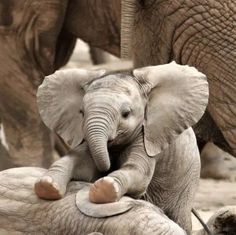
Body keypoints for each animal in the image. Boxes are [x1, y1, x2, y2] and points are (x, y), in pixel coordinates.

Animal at [35, 62, 208, 233]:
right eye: (81, 113)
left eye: (126, 113)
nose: (107, 169)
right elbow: (80, 163)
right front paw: (47, 185)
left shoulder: (148, 137)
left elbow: (138, 172)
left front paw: (104, 188)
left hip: (187, 182)